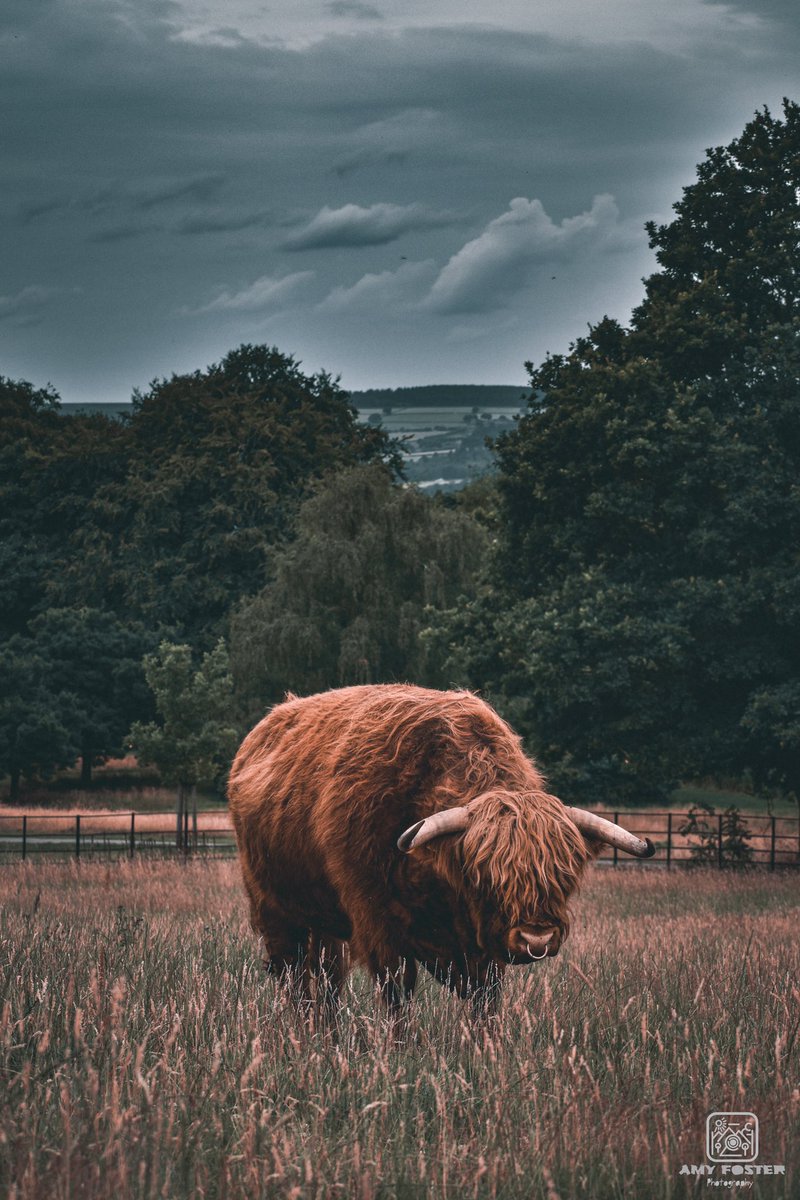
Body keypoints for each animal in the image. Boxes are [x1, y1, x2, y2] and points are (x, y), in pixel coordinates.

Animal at [228, 684, 653, 1015]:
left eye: (564, 875)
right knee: (297, 983)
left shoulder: (480, 948)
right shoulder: (380, 927)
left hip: (327, 924)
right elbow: (397, 999)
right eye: (488, 875)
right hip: (277, 912)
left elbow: (485, 1002)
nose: (537, 940)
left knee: (329, 981)